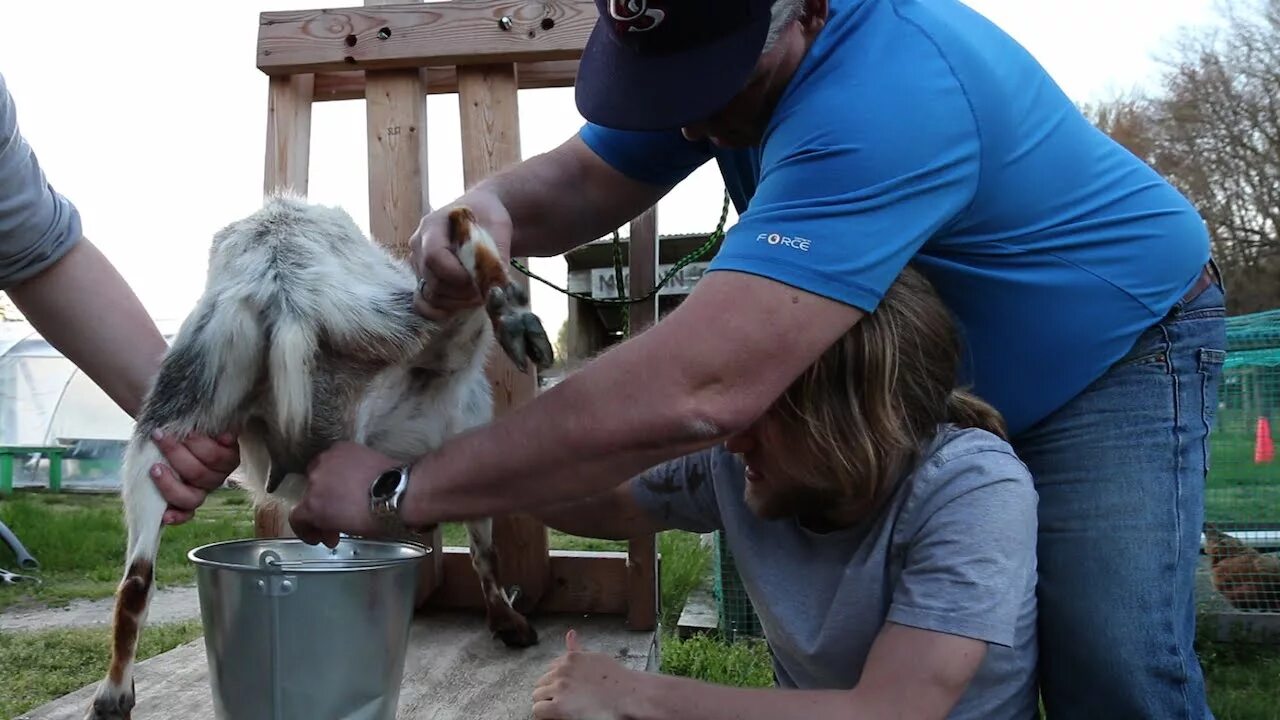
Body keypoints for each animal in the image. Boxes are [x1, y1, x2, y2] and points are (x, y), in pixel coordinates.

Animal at [83, 192, 555, 717]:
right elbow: (483, 548)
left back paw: (113, 697)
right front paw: (508, 623)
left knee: (136, 581)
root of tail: (284, 282)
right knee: (460, 223)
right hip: (425, 313)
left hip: (170, 416)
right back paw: (515, 317)